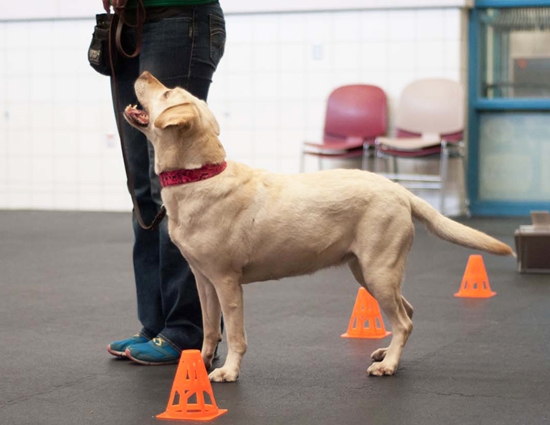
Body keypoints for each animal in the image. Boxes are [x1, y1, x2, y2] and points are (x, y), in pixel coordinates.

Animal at [123, 71, 516, 380]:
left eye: (168, 93)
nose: (142, 71)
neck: (198, 175)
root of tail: (400, 191)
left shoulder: (227, 281)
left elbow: (234, 334)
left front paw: (228, 371)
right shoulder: (203, 279)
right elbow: (208, 329)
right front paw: (201, 365)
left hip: (378, 269)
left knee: (403, 320)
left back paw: (387, 366)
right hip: (368, 272)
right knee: (408, 312)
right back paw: (386, 353)